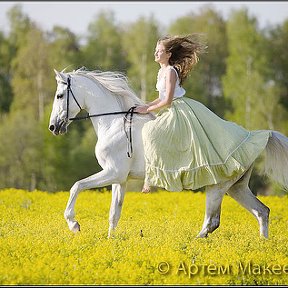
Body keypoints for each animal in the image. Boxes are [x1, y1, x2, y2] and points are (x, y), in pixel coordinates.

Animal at [49, 67, 288, 238]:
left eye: (60, 95)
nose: (53, 127)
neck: (114, 123)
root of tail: (253, 134)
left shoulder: (112, 173)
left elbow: (76, 186)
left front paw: (74, 224)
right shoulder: (120, 179)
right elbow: (113, 215)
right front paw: (111, 242)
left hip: (218, 186)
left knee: (212, 222)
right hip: (236, 187)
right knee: (262, 212)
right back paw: (262, 246)